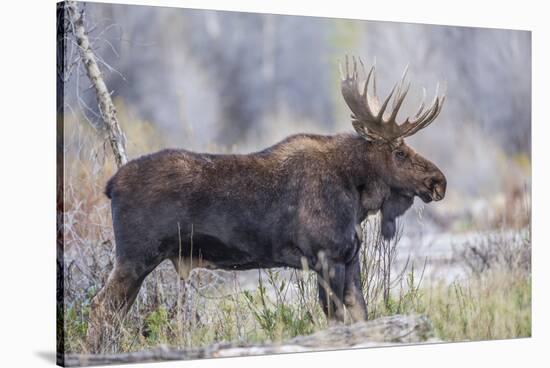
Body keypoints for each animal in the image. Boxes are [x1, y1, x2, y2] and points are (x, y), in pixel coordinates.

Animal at [86, 57, 448, 350]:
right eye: (399, 152)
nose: (439, 181)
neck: (356, 195)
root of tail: (110, 185)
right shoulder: (325, 257)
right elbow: (336, 322)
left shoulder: (349, 257)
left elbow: (361, 316)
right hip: (136, 256)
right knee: (100, 307)